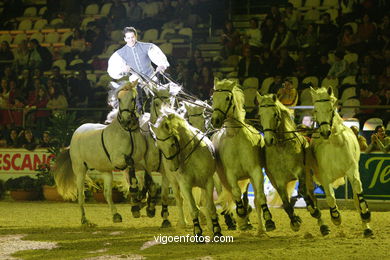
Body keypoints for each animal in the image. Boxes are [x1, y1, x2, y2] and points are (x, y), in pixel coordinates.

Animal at [150, 109, 222, 238]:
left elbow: (210, 206)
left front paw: (216, 230)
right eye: (159, 147)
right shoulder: (185, 185)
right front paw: (198, 232)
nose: (173, 168)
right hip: (174, 182)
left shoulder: (208, 181)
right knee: (180, 200)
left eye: (172, 144)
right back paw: (183, 222)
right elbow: (193, 208)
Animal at [209, 77, 276, 234]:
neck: (236, 140)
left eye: (227, 98)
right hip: (218, 179)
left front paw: (268, 220)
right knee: (225, 198)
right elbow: (235, 193)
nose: (215, 121)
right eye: (213, 97)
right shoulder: (230, 175)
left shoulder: (255, 171)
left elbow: (260, 196)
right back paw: (233, 221)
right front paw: (240, 214)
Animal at [256, 93, 330, 236]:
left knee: (312, 197)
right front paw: (295, 221)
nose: (268, 140)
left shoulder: (300, 172)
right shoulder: (278, 180)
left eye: (275, 114)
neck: (282, 148)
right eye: (260, 114)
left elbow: (302, 191)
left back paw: (322, 224)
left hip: (308, 177)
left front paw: (313, 211)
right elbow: (286, 204)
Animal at [310, 86, 372, 237]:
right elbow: (330, 197)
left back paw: (366, 227)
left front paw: (366, 215)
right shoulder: (324, 177)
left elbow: (358, 192)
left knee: (356, 197)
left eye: (330, 109)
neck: (335, 144)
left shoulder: (352, 170)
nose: (325, 132)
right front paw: (336, 217)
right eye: (315, 110)